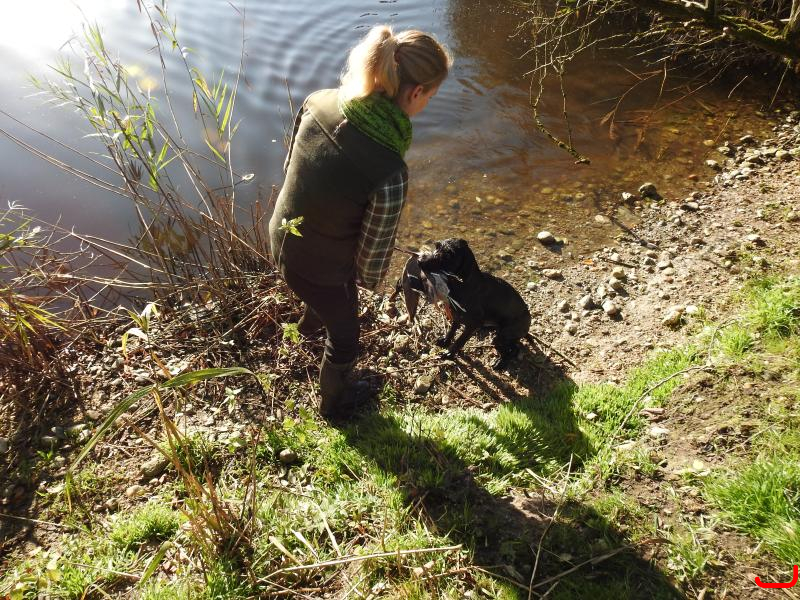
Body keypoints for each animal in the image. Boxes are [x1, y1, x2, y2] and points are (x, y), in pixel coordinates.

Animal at [417, 238, 531, 369]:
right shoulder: (456, 316)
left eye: (448, 255)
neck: (463, 284)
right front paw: (445, 341)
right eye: (436, 246)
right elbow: (452, 331)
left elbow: (460, 341)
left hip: (501, 337)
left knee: (512, 350)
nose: (420, 261)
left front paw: (449, 354)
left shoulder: (473, 324)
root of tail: (528, 321)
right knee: (514, 346)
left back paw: (501, 362)